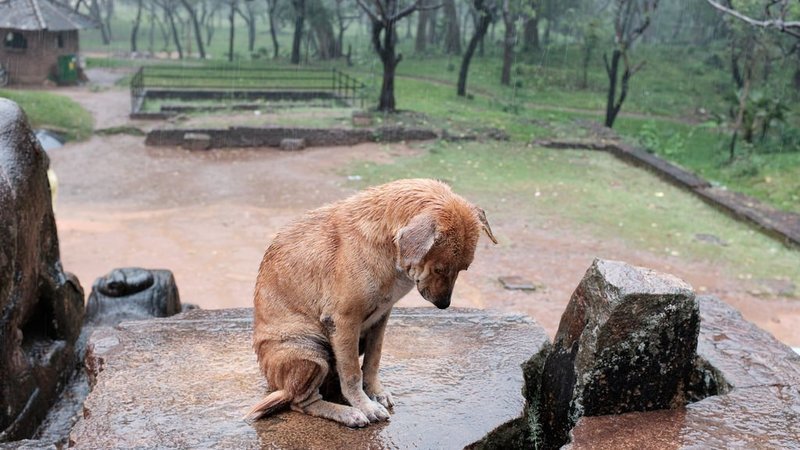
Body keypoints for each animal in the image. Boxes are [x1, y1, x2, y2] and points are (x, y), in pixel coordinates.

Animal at [245, 178, 494, 428]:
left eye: (463, 269)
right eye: (440, 269)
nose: (444, 305)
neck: (388, 247)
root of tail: (279, 387)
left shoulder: (381, 318)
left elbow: (373, 361)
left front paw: (376, 392)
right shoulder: (344, 322)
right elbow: (352, 373)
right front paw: (365, 406)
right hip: (311, 352)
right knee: (302, 402)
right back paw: (348, 413)